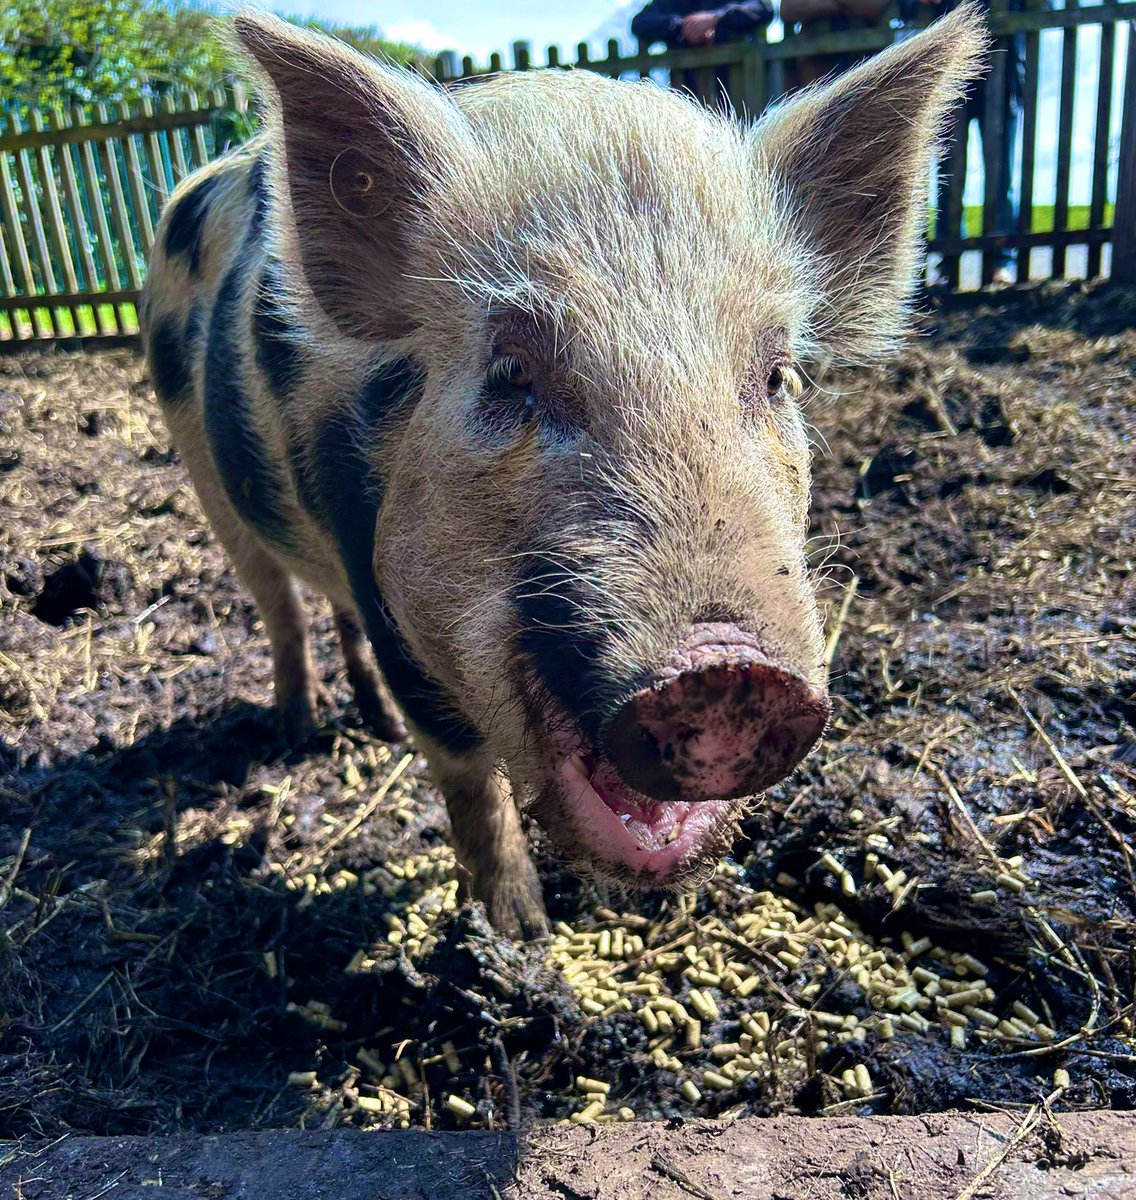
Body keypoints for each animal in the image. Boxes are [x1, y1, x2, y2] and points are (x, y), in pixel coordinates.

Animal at [141, 8, 986, 937]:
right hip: (202, 476)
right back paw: (298, 730)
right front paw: (517, 934)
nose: (726, 669)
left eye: (776, 376)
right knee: (278, 607)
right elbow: (467, 778)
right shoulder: (380, 578)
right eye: (511, 372)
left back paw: (371, 728)